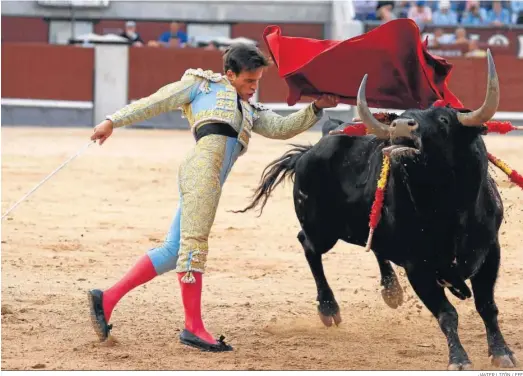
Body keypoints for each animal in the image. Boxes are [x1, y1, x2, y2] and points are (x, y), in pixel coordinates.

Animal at [238, 52, 520, 370]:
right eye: (400, 115)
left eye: (444, 119)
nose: (401, 126)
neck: (446, 206)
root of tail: (310, 150)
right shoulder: (417, 266)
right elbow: (447, 314)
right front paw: (459, 359)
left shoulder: (489, 252)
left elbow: (487, 306)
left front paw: (502, 352)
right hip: (322, 229)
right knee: (308, 245)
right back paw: (329, 308)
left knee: (373, 246)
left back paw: (391, 290)